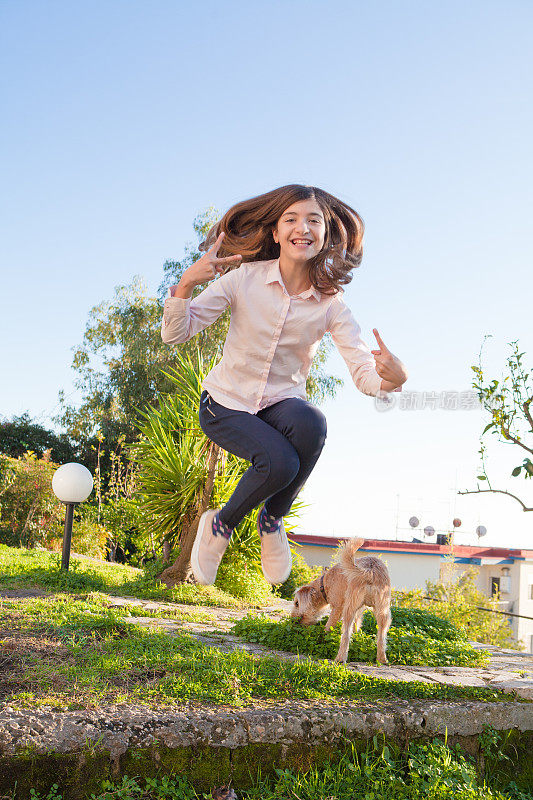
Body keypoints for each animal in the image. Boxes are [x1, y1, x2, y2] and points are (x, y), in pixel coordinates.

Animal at [290, 536, 390, 664]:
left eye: (297, 603)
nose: (292, 621)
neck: (324, 585)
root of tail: (369, 571)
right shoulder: (359, 610)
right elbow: (357, 626)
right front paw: (357, 636)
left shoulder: (338, 608)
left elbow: (328, 627)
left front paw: (322, 639)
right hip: (383, 611)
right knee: (381, 637)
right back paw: (382, 659)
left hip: (348, 610)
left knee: (345, 635)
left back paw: (340, 658)